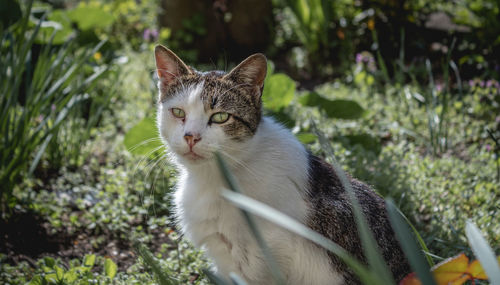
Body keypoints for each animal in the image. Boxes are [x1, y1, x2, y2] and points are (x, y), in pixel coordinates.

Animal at [153, 43, 410, 282]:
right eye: (178, 112)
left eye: (220, 117)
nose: (191, 137)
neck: (219, 178)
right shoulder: (223, 253)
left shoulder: (269, 254)